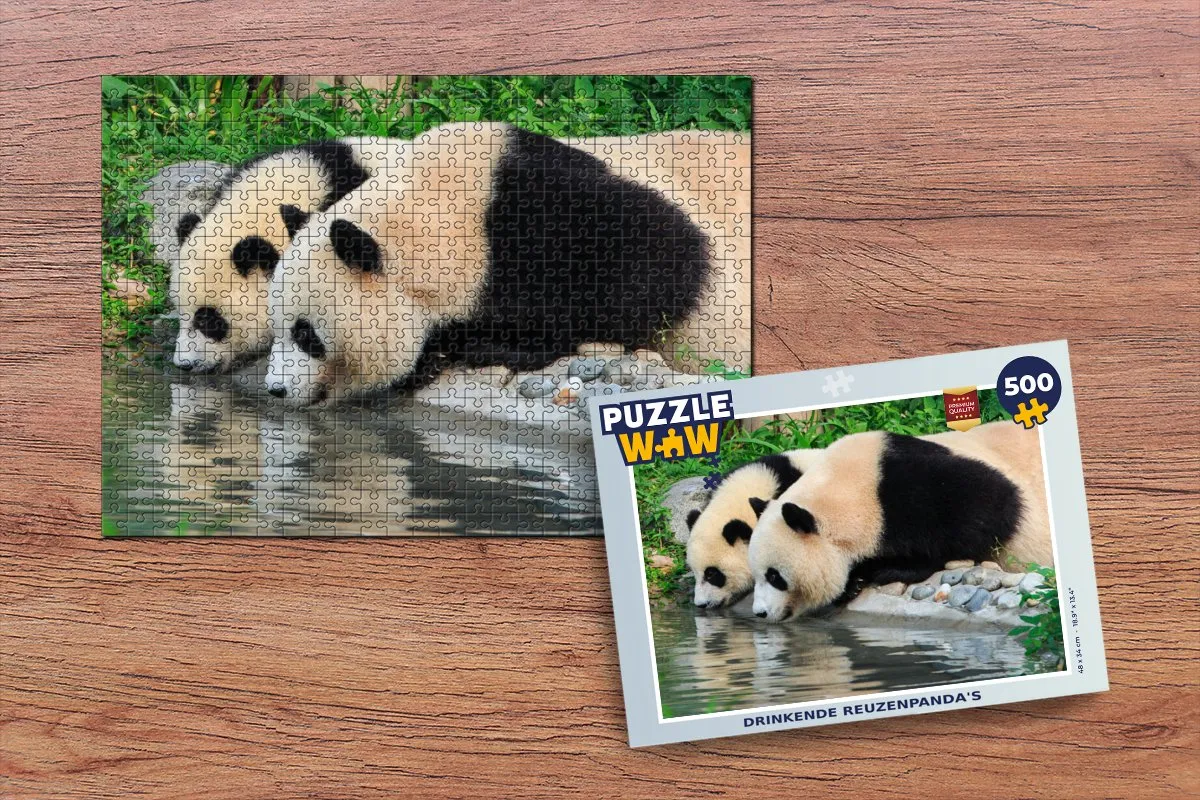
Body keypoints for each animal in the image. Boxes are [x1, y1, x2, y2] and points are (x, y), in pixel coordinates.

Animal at [749, 421, 1051, 622]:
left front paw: (884, 569)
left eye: (775, 577)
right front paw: (855, 580)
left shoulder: (912, 486)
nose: (760, 613)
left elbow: (993, 508)